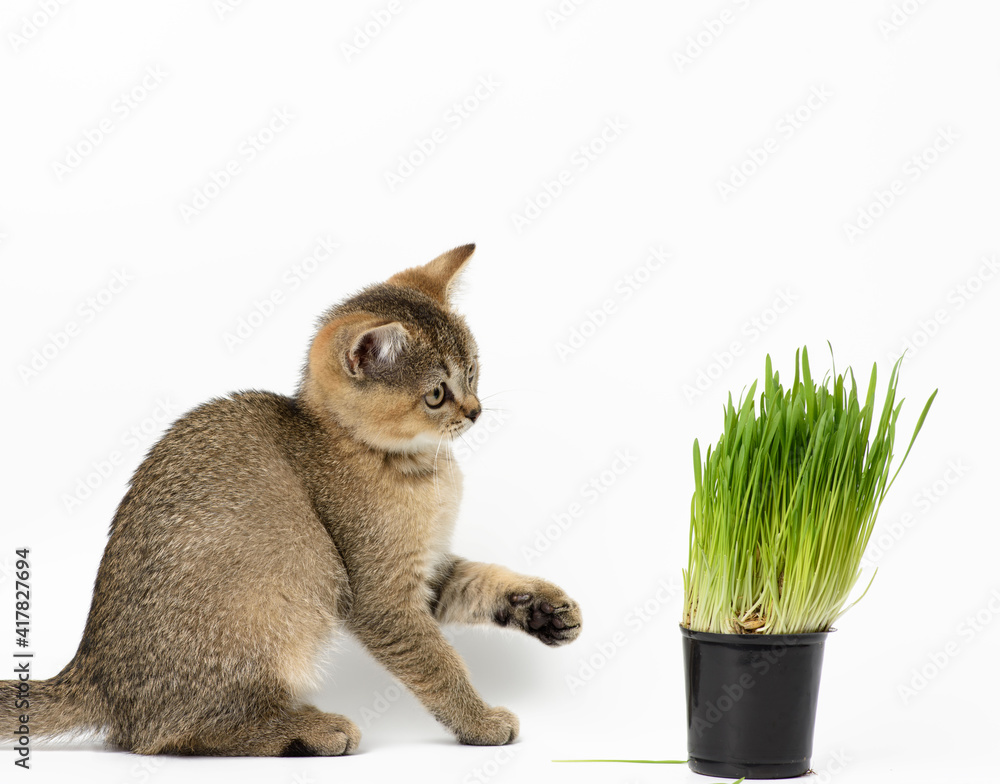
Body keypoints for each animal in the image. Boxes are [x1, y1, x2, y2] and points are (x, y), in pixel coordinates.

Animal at [1, 245, 580, 752]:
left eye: (474, 372)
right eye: (436, 394)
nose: (476, 410)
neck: (411, 465)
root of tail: (95, 674)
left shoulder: (428, 569)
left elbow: (478, 581)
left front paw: (543, 608)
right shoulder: (380, 595)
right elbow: (436, 663)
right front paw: (479, 721)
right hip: (280, 601)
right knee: (171, 735)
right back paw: (309, 731)